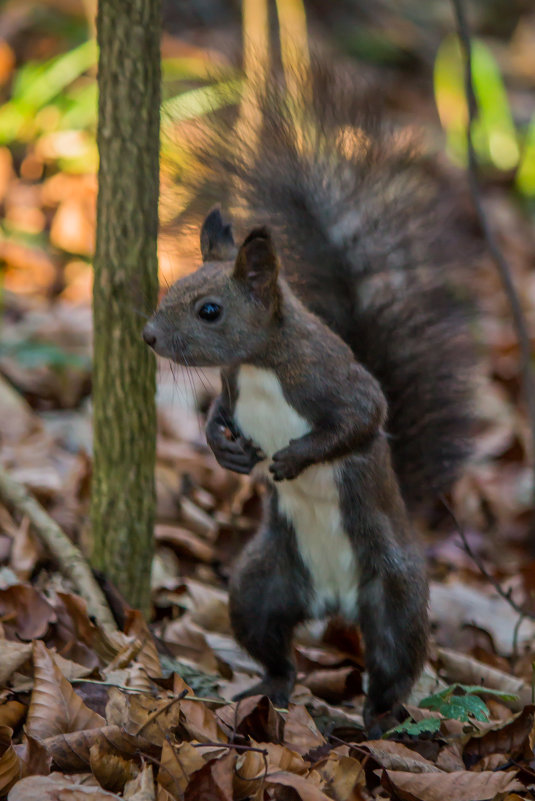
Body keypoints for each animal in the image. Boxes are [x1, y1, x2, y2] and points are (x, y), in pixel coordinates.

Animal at [143, 65, 474, 736]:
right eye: (171, 287)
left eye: (209, 310)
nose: (150, 336)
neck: (261, 364)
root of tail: (333, 601)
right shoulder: (232, 387)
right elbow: (217, 417)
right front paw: (226, 451)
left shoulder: (335, 382)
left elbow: (365, 417)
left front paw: (294, 459)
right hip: (260, 584)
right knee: (275, 647)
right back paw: (267, 689)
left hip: (395, 595)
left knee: (394, 663)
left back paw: (378, 721)